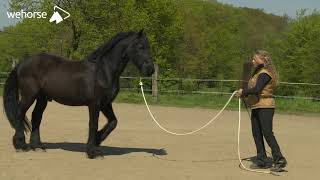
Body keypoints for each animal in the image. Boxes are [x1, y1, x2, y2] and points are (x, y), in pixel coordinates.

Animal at [2, 29, 155, 159]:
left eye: (148, 47)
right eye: (140, 46)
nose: (150, 70)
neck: (103, 71)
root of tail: (22, 63)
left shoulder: (106, 104)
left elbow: (113, 122)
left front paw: (97, 141)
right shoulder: (95, 104)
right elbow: (93, 124)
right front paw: (92, 151)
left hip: (42, 98)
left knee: (36, 117)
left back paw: (38, 146)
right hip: (29, 96)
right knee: (19, 114)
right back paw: (21, 144)